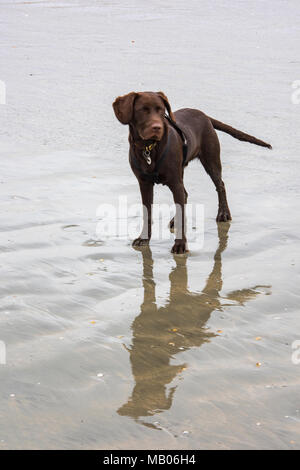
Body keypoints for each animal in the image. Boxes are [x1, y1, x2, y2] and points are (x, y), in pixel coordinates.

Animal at [113, 92, 272, 253]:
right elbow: (148, 213)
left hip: (211, 159)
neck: (149, 148)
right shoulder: (144, 183)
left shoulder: (175, 182)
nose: (157, 128)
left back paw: (223, 213)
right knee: (186, 194)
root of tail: (204, 115)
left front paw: (180, 245)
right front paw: (144, 239)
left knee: (220, 185)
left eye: (161, 110)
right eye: (142, 110)